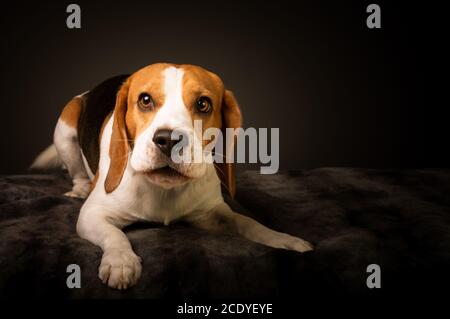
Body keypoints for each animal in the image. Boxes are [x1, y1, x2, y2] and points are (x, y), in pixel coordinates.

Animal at [31, 62, 312, 290]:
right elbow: (115, 235)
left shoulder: (212, 212)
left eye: (203, 104)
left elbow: (247, 222)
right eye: (145, 100)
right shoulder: (92, 214)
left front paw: (282, 239)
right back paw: (79, 188)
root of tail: (88, 93)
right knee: (76, 170)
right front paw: (121, 261)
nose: (168, 140)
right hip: (65, 128)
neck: (164, 189)